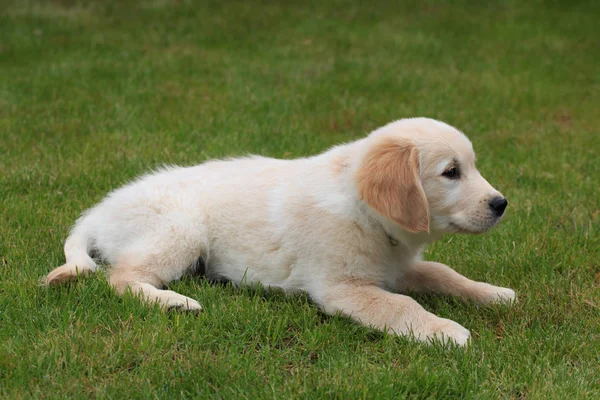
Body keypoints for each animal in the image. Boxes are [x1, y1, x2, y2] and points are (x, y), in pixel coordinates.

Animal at [45, 117, 516, 346]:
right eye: (451, 172)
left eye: (471, 167)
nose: (501, 204)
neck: (365, 212)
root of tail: (100, 211)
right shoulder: (342, 287)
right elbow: (401, 306)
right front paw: (445, 331)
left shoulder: (396, 266)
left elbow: (442, 272)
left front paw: (493, 293)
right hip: (179, 231)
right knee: (120, 278)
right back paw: (175, 301)